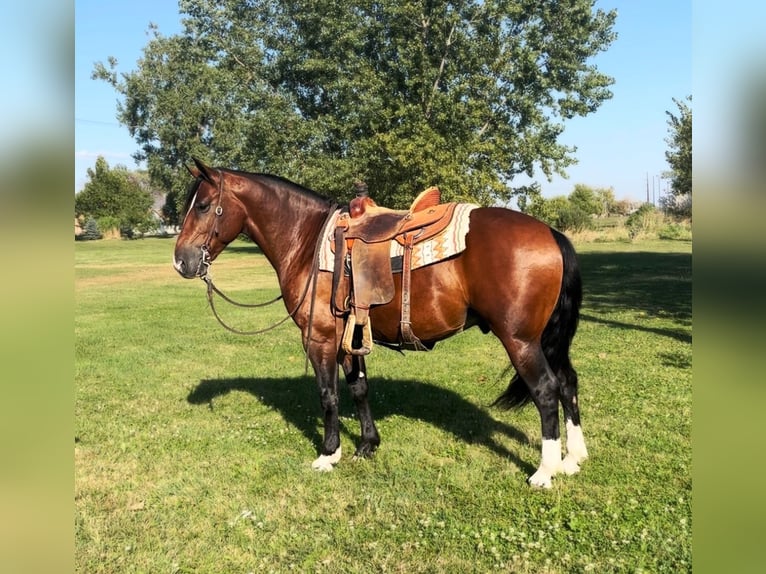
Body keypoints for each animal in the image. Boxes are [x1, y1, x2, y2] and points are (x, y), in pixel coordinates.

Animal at [174, 159, 592, 490]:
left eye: (205, 206)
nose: (181, 261)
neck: (308, 242)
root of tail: (550, 233)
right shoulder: (350, 337)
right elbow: (359, 389)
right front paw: (367, 444)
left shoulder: (321, 339)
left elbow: (328, 395)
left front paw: (328, 454)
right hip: (546, 339)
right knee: (568, 383)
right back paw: (574, 458)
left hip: (520, 340)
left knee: (546, 390)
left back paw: (545, 471)